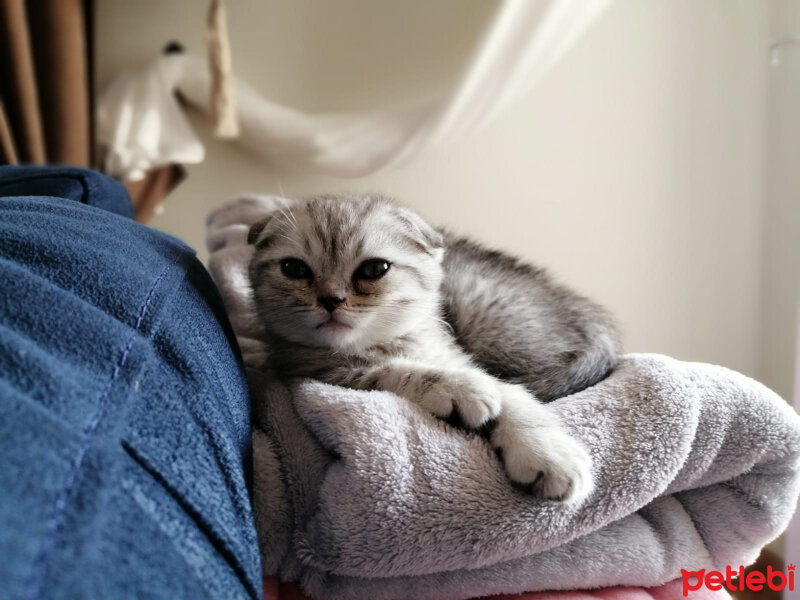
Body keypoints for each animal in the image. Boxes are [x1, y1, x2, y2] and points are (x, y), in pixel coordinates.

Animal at [248, 193, 620, 502]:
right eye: (294, 268)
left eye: (374, 269)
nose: (330, 299)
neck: (388, 343)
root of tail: (587, 313)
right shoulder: (322, 372)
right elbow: (395, 373)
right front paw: (461, 389)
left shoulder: (459, 357)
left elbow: (514, 396)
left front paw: (548, 454)